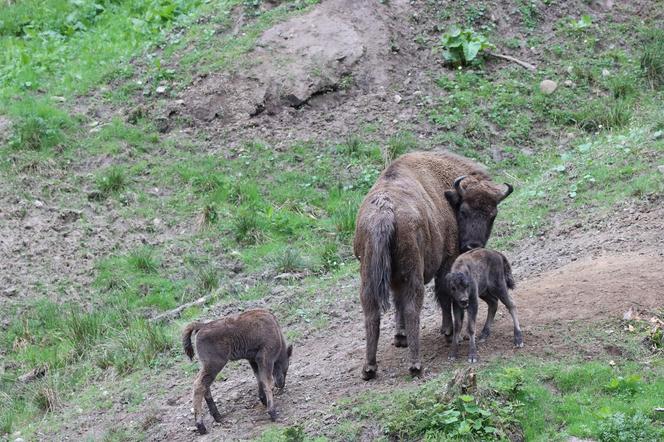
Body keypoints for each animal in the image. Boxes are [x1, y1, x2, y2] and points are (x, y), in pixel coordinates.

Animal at [352, 152, 512, 380]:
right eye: (463, 211)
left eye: (493, 214)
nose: (473, 245)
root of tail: (385, 211)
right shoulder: (447, 261)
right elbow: (444, 295)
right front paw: (451, 332)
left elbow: (398, 301)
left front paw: (400, 337)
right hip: (412, 274)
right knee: (412, 308)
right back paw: (415, 365)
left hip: (368, 275)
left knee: (371, 312)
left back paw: (369, 368)